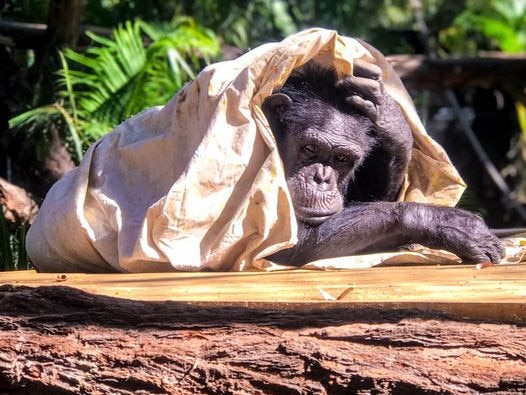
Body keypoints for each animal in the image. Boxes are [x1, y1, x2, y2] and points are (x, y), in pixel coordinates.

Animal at [264, 58, 508, 266]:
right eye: (311, 148)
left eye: (341, 158)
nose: (321, 179)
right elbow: (284, 240)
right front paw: (452, 224)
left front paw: (388, 118)